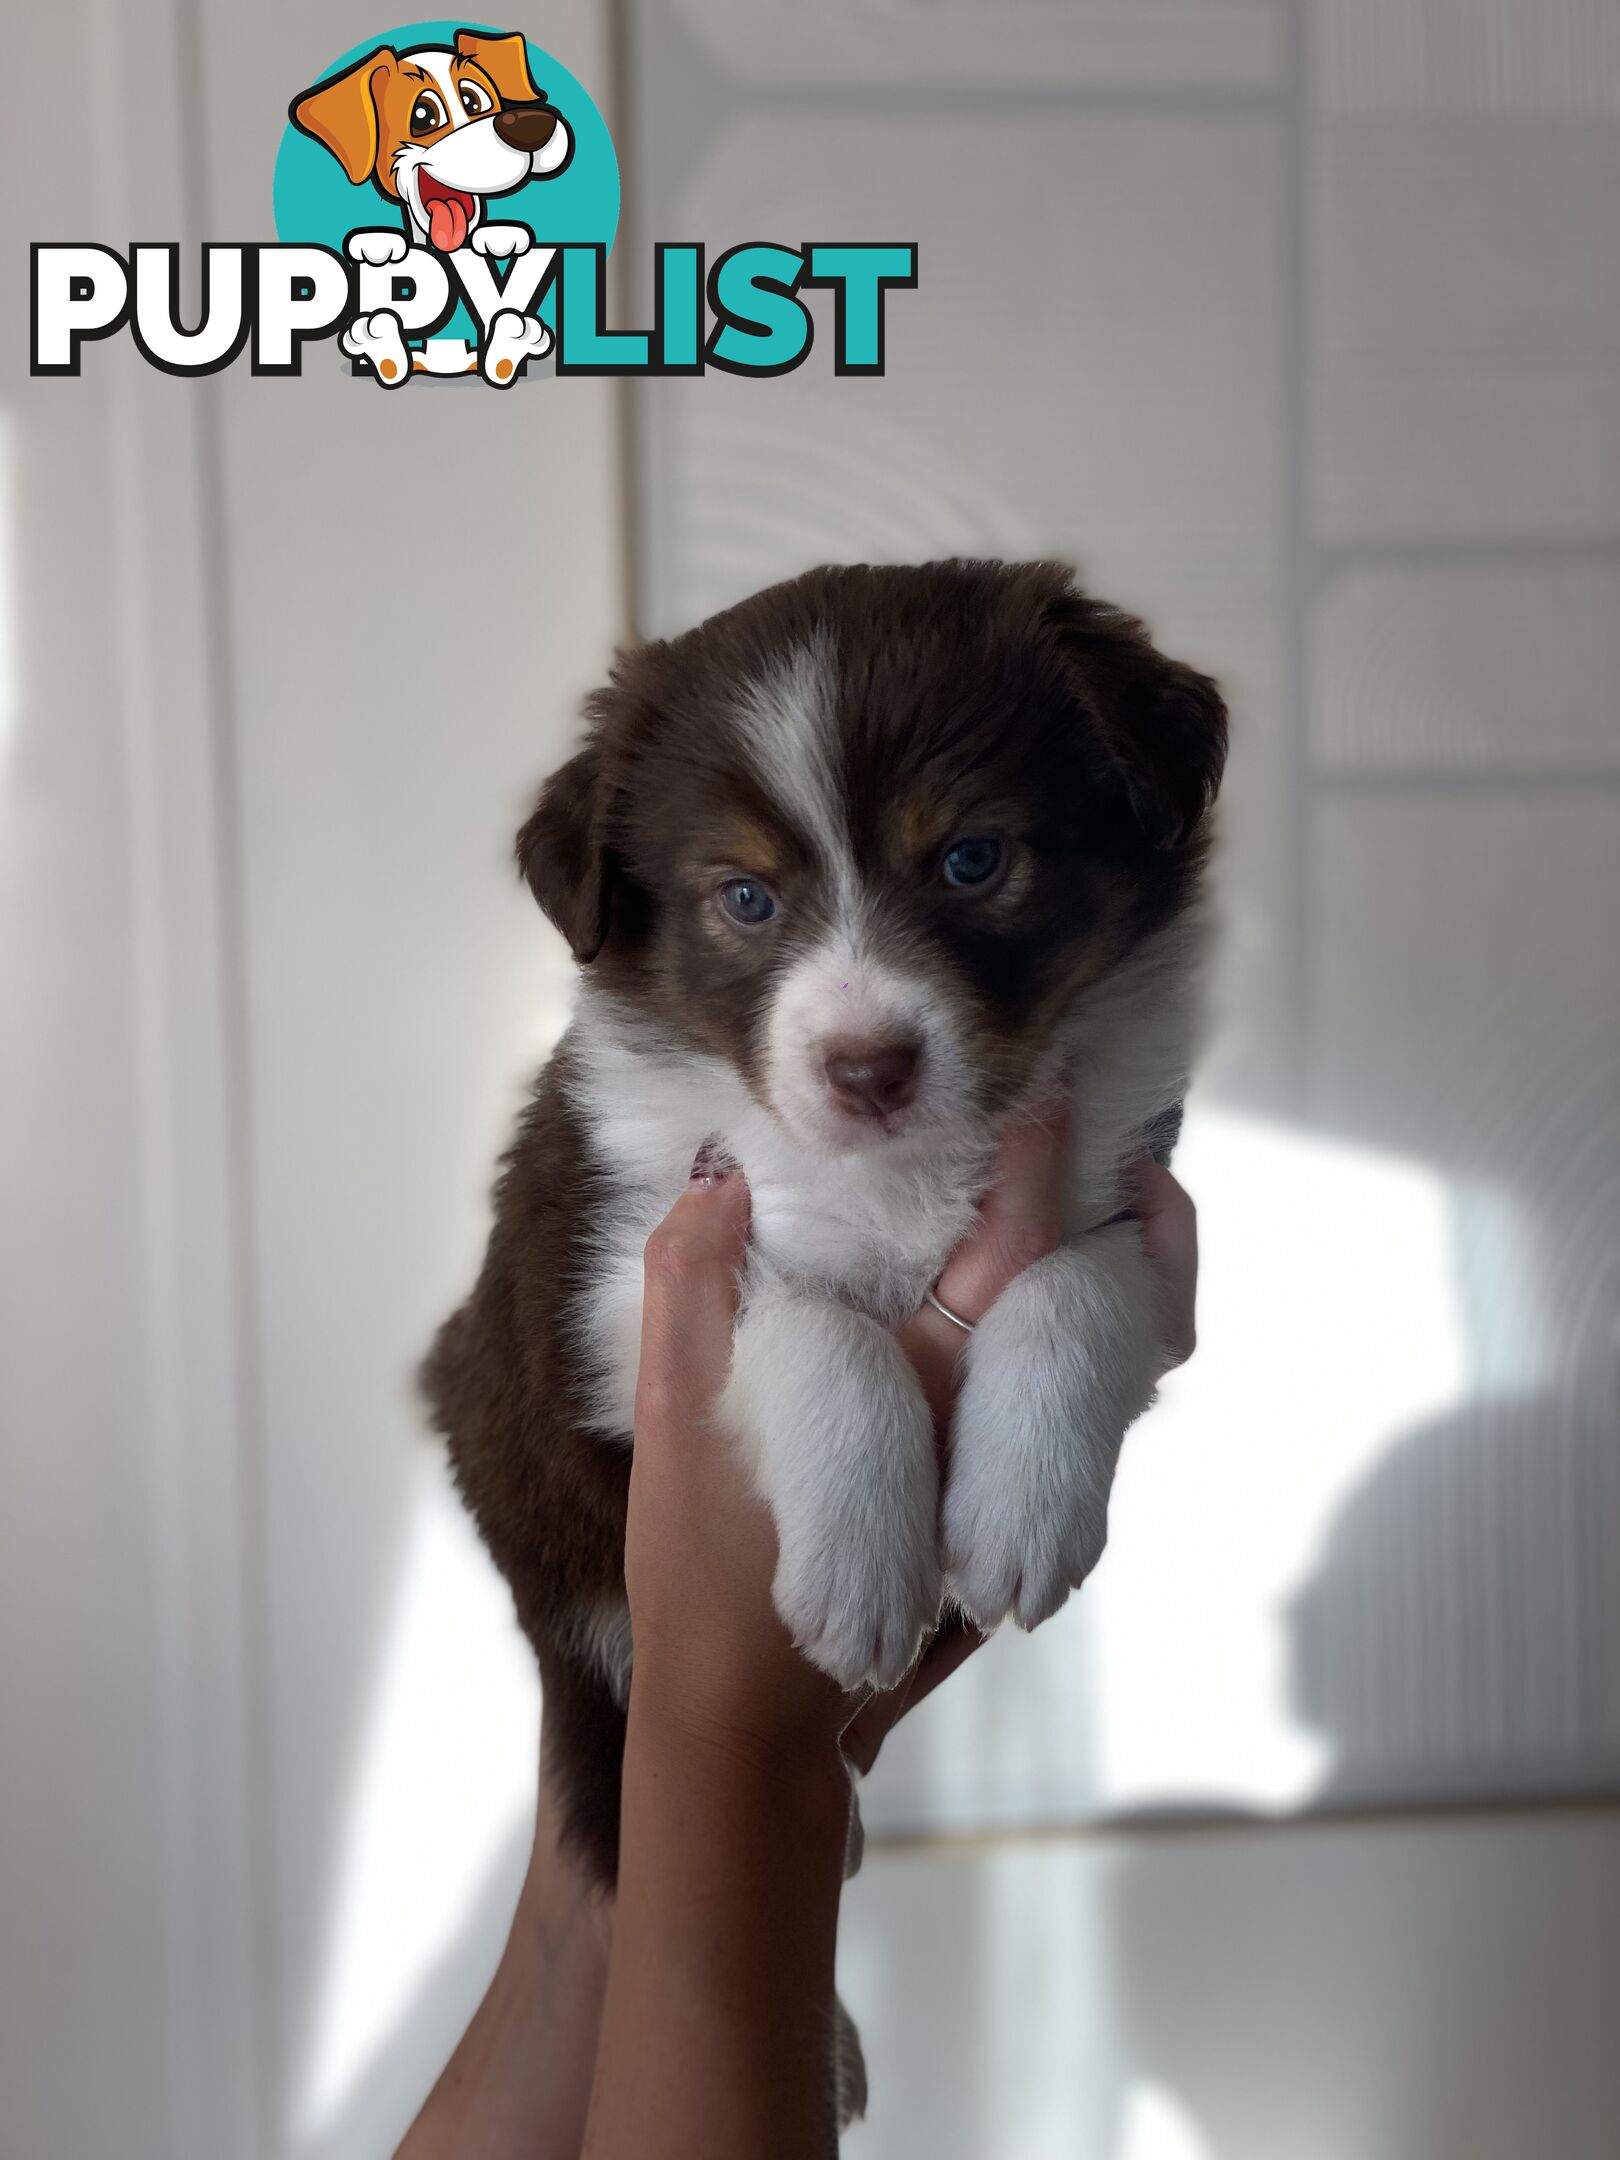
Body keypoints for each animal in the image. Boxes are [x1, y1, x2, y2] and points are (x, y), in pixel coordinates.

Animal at [425, 557, 1226, 1892]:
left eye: (970, 860)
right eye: (744, 898)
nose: (867, 1067)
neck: (898, 1165)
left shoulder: (1141, 1204)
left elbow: (1075, 1281)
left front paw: (1022, 1508)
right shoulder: (602, 1287)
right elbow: (813, 1319)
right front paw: (861, 1568)